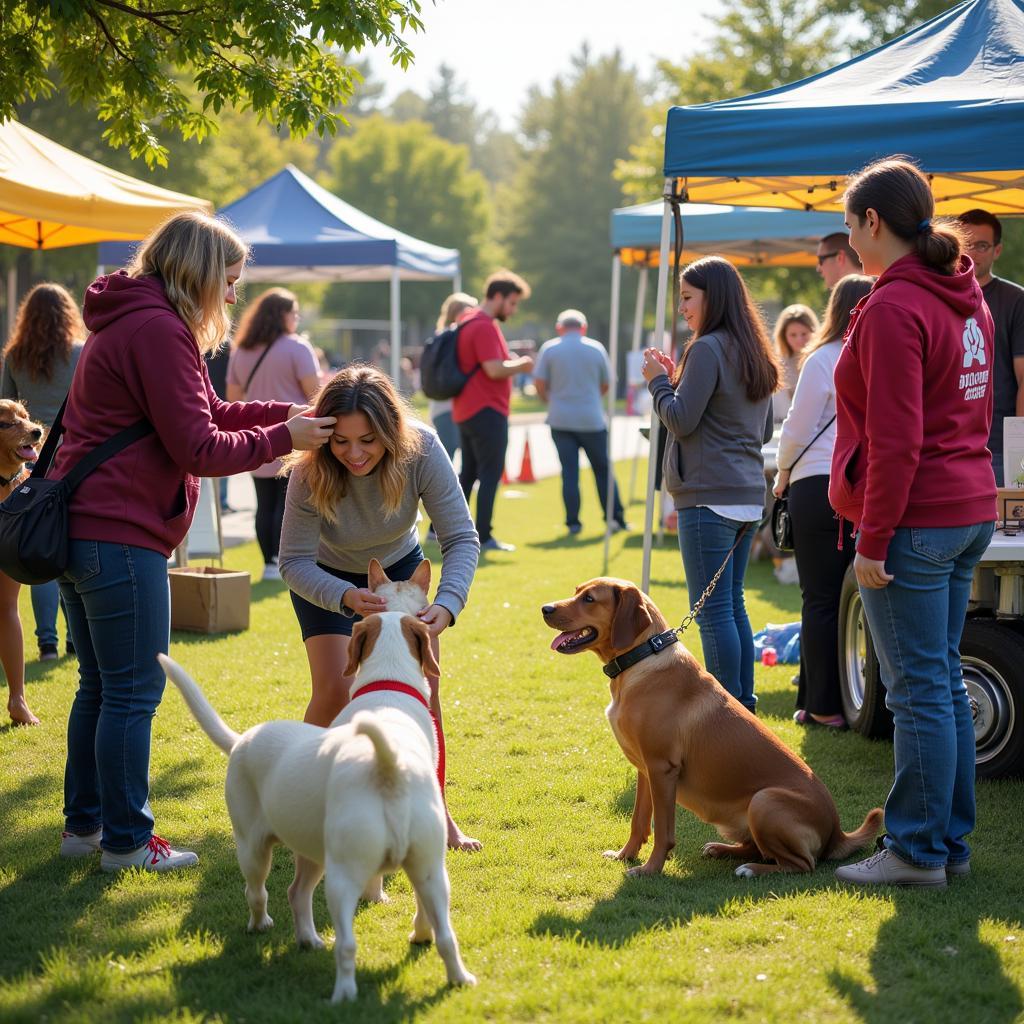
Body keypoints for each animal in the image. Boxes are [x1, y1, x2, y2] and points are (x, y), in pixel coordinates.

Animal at [156, 610, 475, 1003]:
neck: (387, 687)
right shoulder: (422, 867)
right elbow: (416, 907)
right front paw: (412, 928)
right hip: (388, 866)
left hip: (281, 856)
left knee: (270, 897)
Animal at [540, 581, 884, 876]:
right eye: (576, 591)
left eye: (589, 599)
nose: (545, 608)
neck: (642, 658)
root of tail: (837, 832)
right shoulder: (645, 770)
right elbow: (639, 822)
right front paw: (626, 855)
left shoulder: (662, 769)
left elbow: (663, 831)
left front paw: (650, 869)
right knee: (758, 848)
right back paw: (722, 849)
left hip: (765, 801)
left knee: (800, 864)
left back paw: (750, 870)